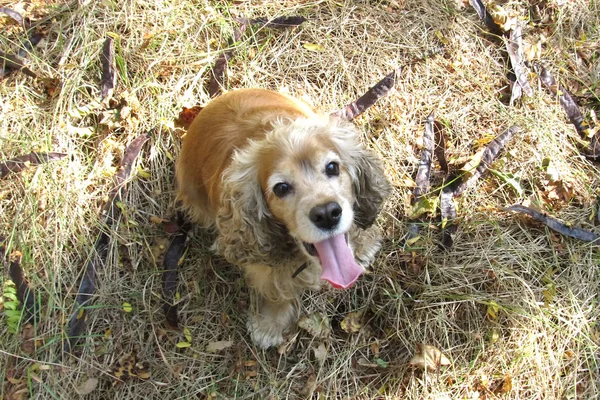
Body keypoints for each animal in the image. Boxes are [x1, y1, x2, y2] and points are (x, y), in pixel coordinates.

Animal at [175, 89, 390, 348]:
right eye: (281, 188)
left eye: (332, 167)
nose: (327, 213)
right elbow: (274, 289)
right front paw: (270, 323)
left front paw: (365, 244)